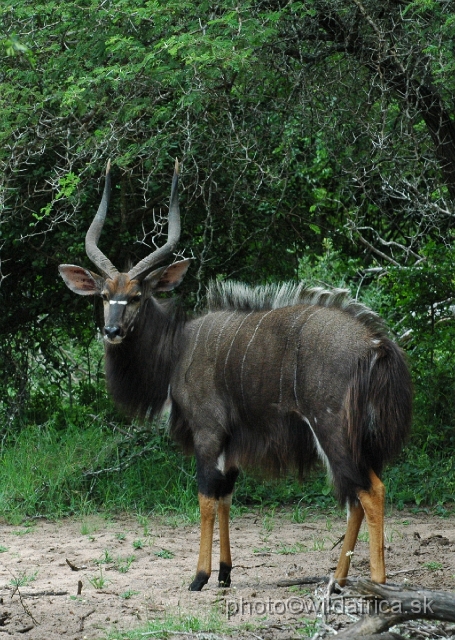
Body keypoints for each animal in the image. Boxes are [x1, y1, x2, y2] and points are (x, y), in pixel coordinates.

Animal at [58, 160, 412, 592]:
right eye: (105, 295)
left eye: (137, 295)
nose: (111, 331)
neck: (177, 347)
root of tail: (376, 344)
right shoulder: (232, 442)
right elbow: (226, 496)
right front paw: (225, 573)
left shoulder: (208, 431)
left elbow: (206, 497)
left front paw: (199, 577)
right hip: (355, 438)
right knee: (355, 496)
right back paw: (336, 580)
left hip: (333, 430)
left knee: (370, 492)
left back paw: (377, 585)